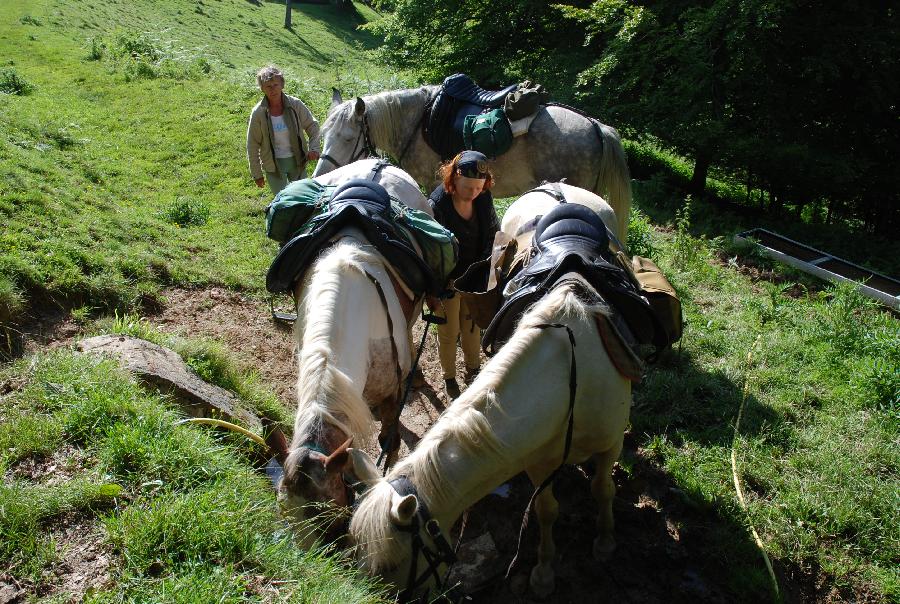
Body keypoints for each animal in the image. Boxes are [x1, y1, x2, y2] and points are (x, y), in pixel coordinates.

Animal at [344, 188, 632, 600]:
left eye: (390, 566)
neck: (569, 382)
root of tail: (561, 188)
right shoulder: (539, 461)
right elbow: (546, 510)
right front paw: (543, 572)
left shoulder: (609, 443)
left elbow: (603, 488)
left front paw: (605, 542)